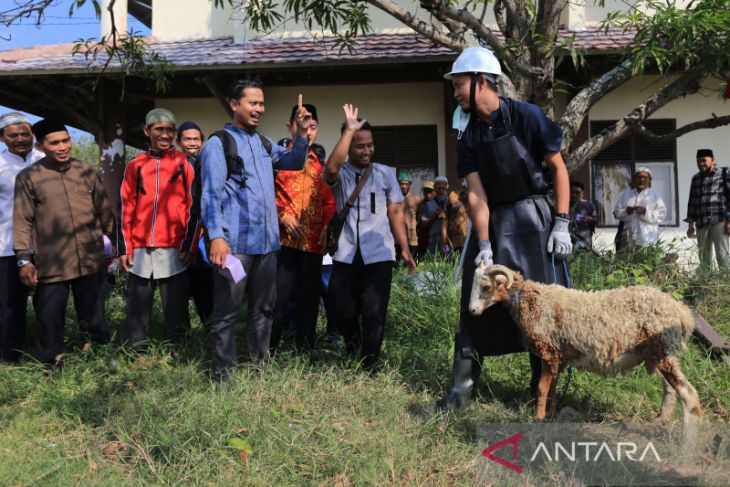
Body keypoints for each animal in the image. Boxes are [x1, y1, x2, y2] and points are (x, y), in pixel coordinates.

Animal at [466, 262, 700, 426]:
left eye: (486, 286)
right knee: (670, 389)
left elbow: (542, 388)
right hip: (658, 353)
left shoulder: (548, 351)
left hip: (662, 349)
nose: (472, 311)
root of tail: (682, 313)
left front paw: (538, 418)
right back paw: (661, 419)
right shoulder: (558, 355)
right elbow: (553, 386)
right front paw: (550, 413)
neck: (532, 300)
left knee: (685, 391)